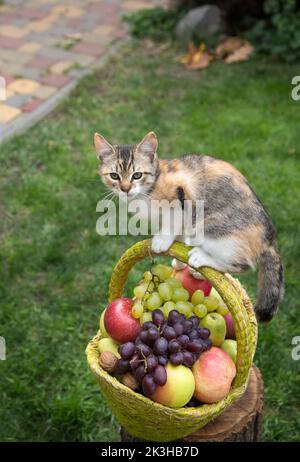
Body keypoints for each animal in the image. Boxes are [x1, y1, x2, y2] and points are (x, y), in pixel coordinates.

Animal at [94, 130, 284, 322]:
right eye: (114, 176)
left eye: (137, 175)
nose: (125, 189)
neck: (150, 187)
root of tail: (269, 238)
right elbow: (178, 236)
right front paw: (178, 263)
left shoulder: (181, 195)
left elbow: (173, 221)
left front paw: (161, 241)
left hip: (209, 228)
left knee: (242, 264)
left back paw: (200, 258)